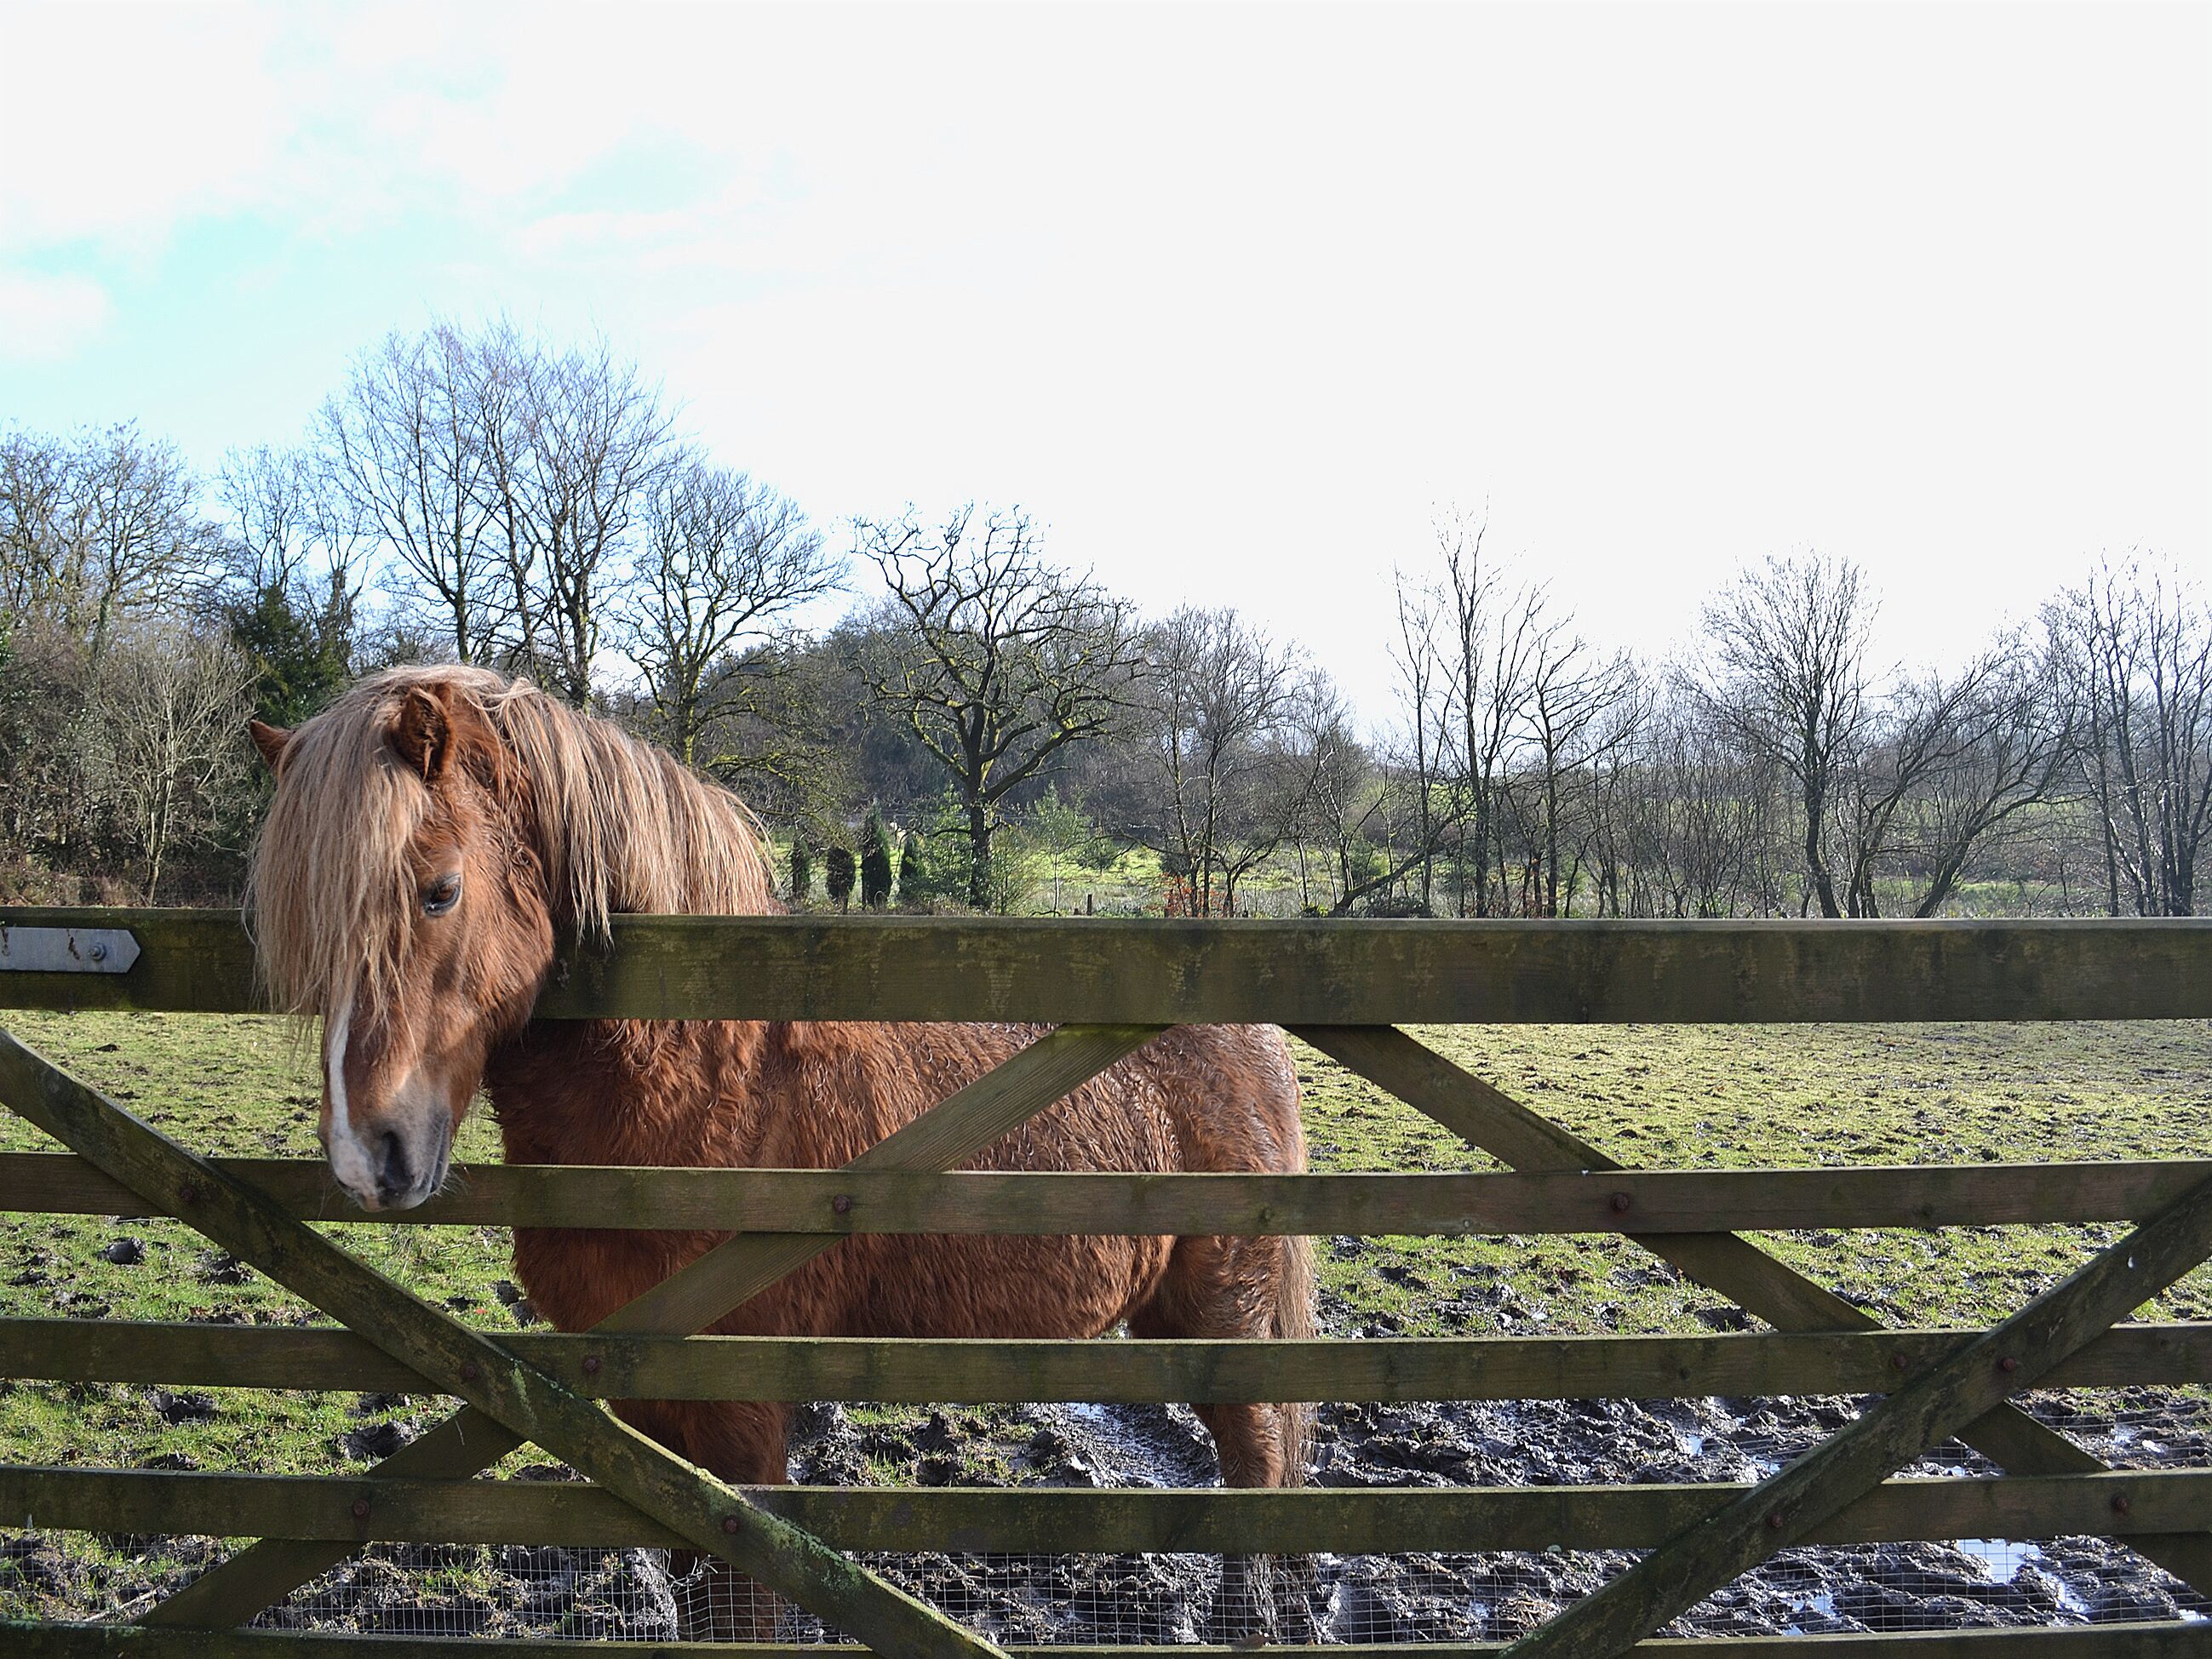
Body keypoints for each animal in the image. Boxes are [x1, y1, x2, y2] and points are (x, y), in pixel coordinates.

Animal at [244, 665, 1315, 1642]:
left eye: (439, 891)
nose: (367, 1151)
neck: (694, 1074)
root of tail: (1257, 1033)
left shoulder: (740, 1424)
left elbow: (741, 1610)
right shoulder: (643, 1416)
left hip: (1226, 1320)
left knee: (1255, 1470)